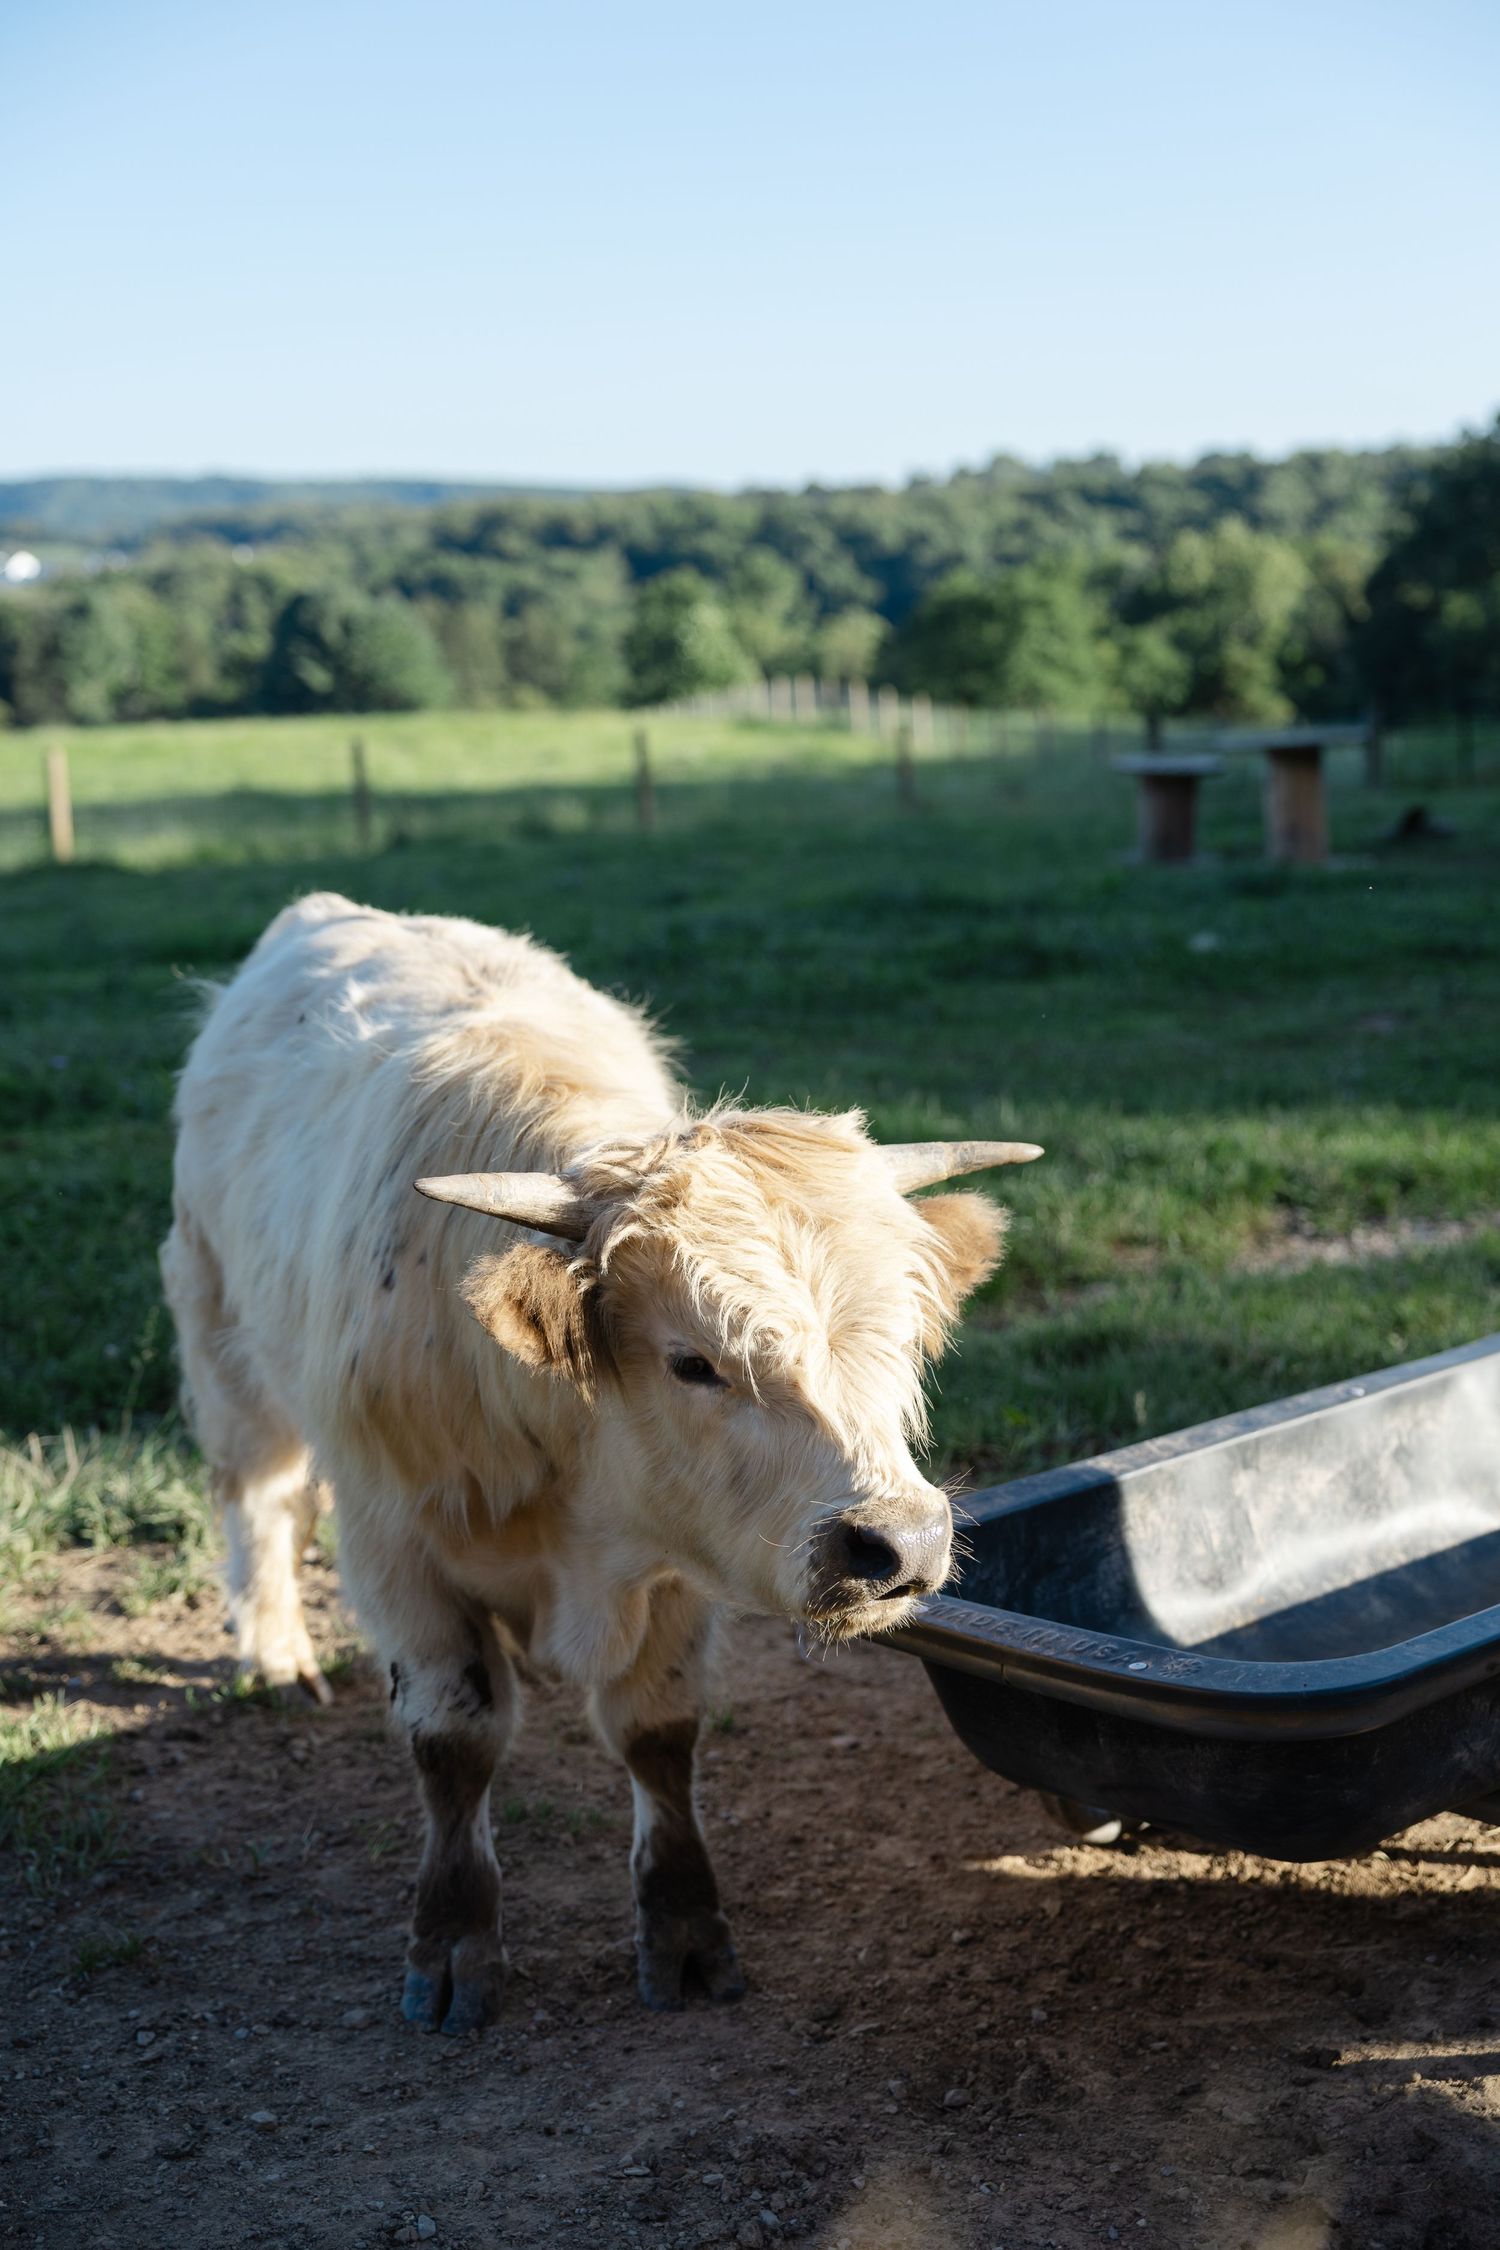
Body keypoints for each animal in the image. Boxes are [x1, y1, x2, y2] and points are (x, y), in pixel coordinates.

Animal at [160, 893, 1040, 2029]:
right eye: (692, 1360)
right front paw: (454, 1946)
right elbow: (454, 1743)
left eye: (903, 1336)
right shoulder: (398, 1550)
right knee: (259, 1498)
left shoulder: (683, 1563)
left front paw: (686, 1932)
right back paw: (274, 1653)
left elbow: (659, 1735)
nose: (900, 1543)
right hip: (223, 1338)